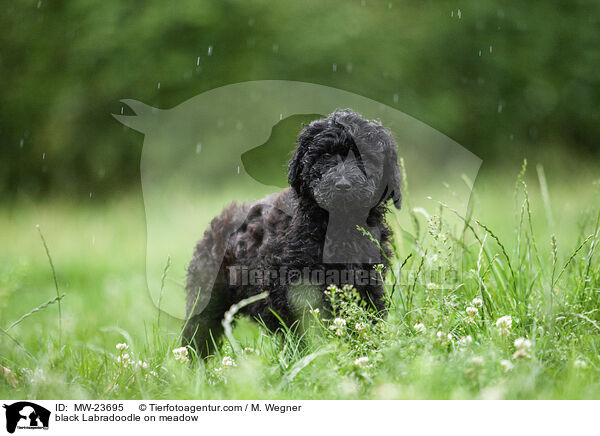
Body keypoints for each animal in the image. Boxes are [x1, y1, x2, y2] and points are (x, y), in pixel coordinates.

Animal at [183, 108, 398, 354]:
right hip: (207, 294)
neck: (339, 225)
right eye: (325, 155)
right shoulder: (289, 286)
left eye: (366, 158)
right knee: (198, 332)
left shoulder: (369, 278)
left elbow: (371, 313)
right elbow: (306, 324)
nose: (343, 185)